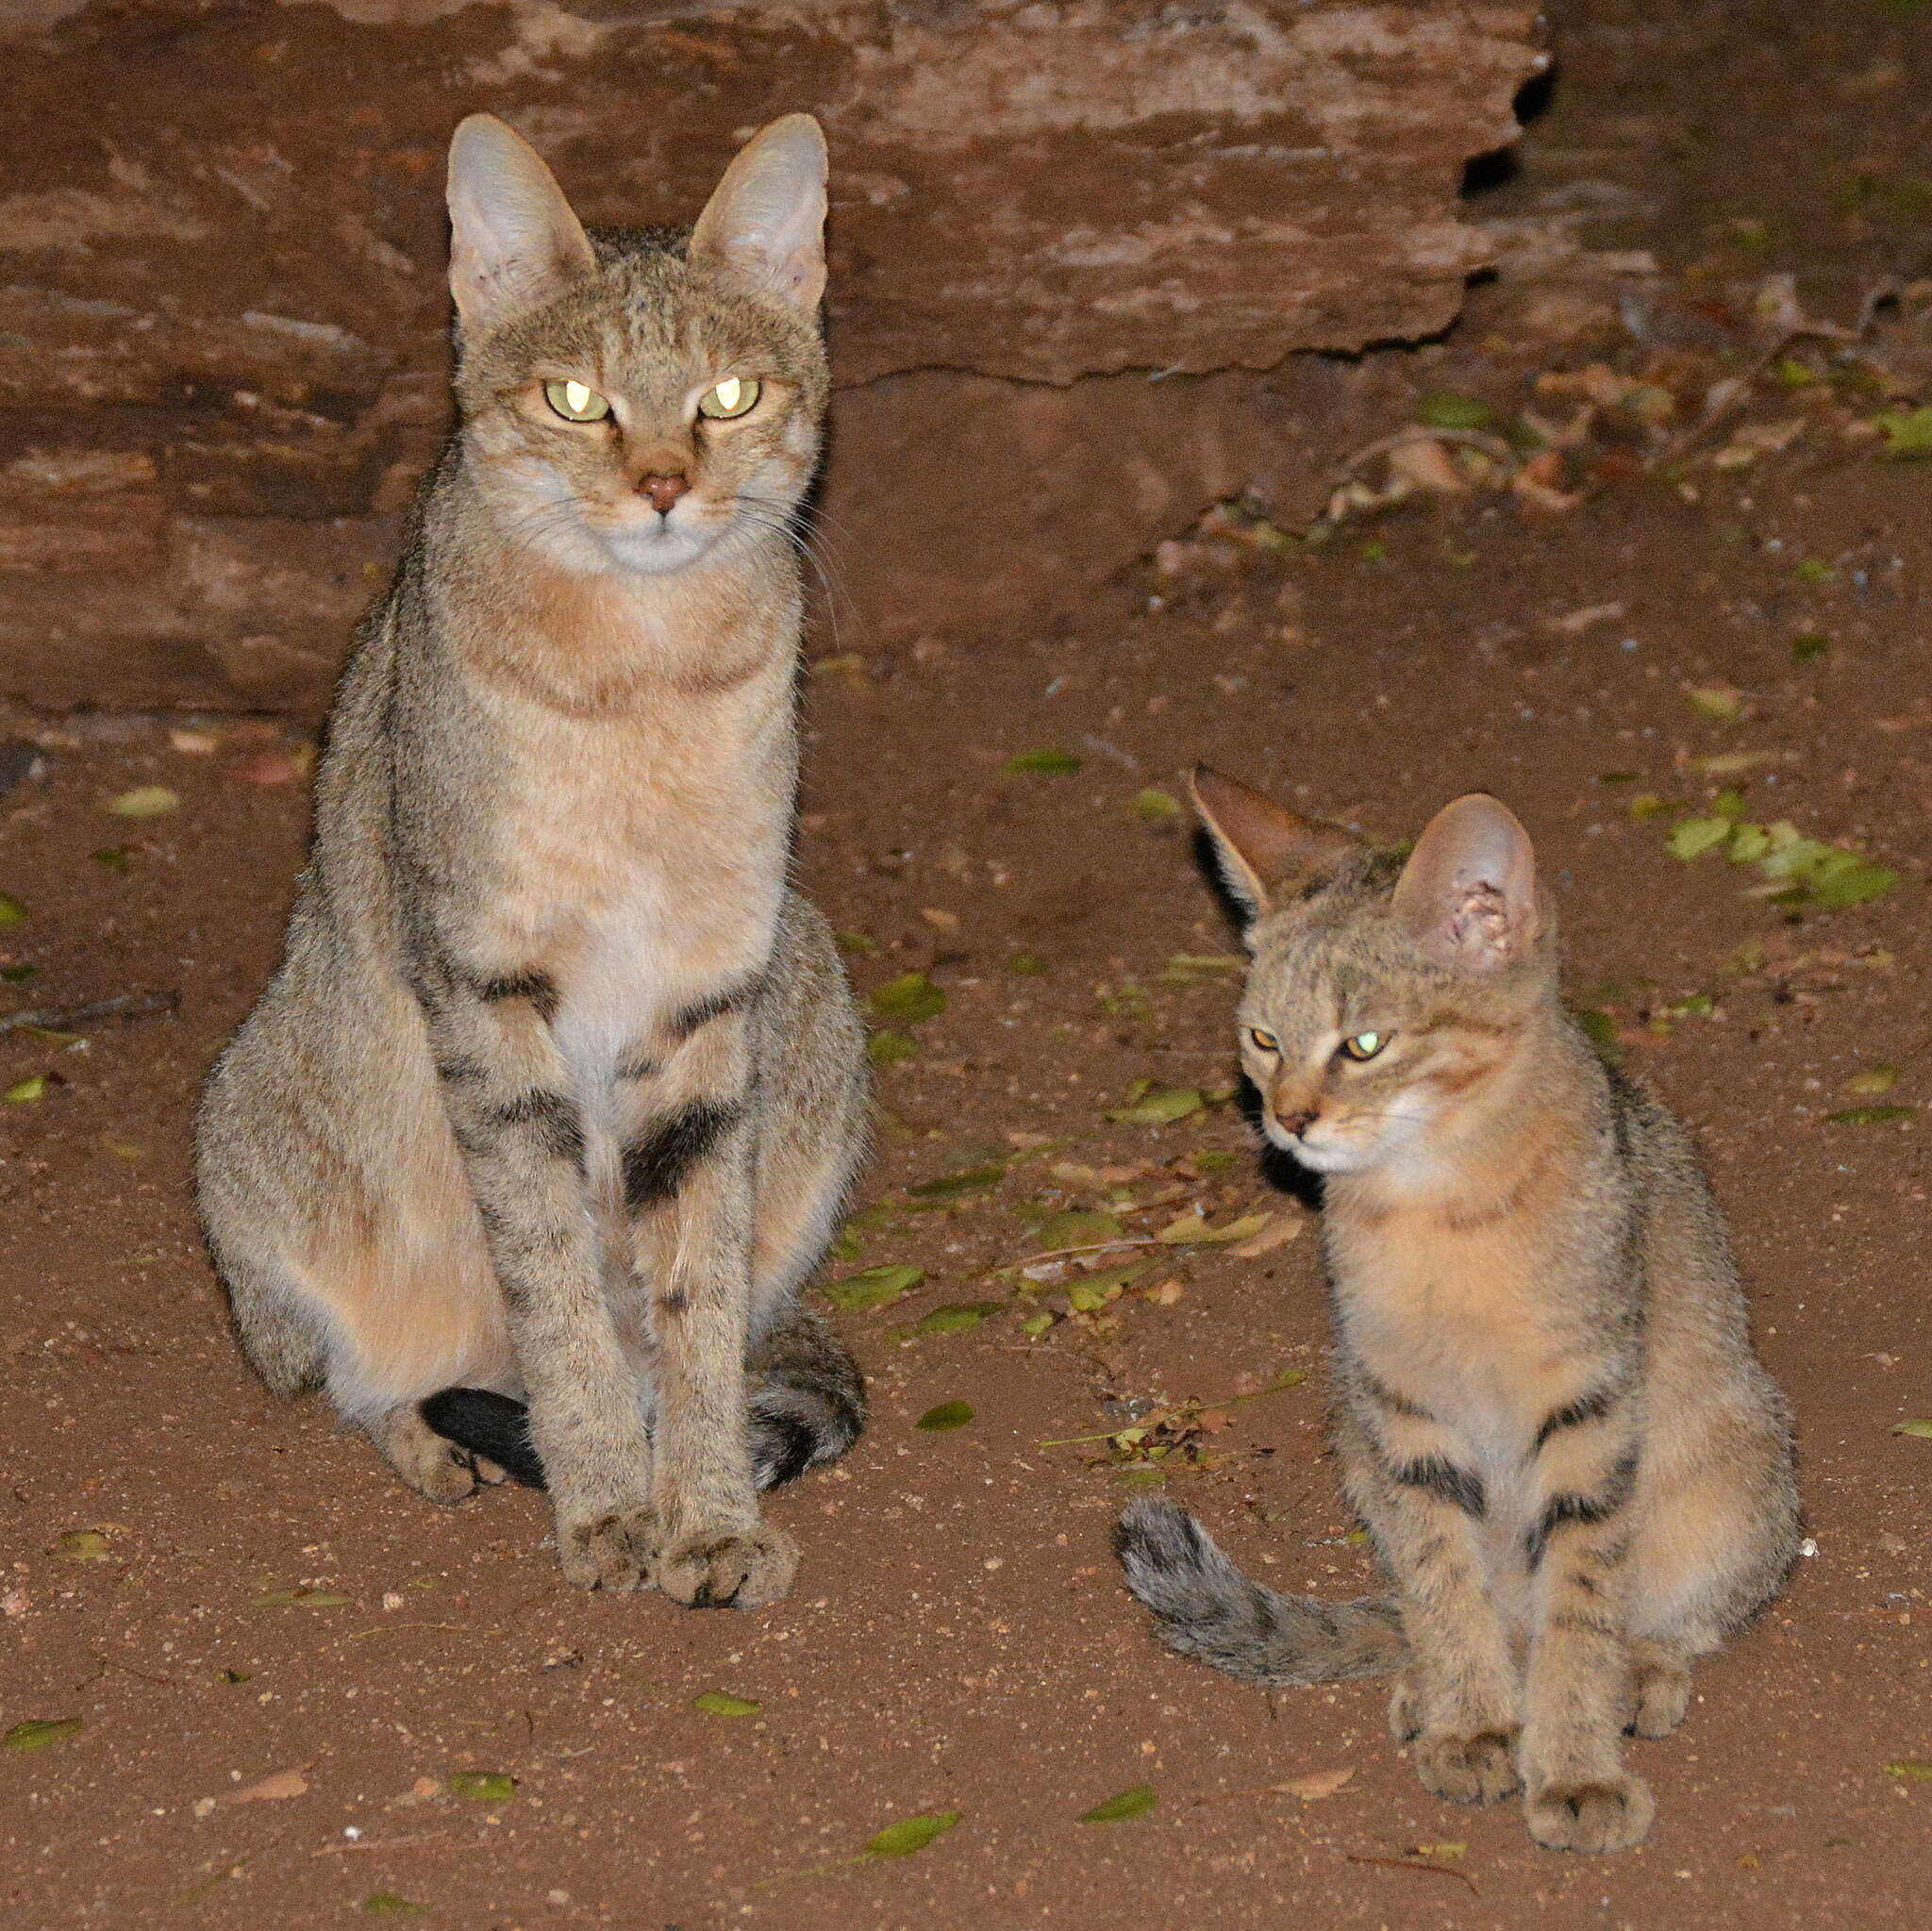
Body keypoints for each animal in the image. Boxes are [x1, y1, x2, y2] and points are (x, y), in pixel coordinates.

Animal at [193, 112, 861, 1606]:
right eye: (572, 400)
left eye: (728, 393)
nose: (664, 485)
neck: (644, 672)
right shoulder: (485, 989)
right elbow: (552, 1274)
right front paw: (610, 1500)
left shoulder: (705, 993)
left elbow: (692, 1294)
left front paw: (705, 1509)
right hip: (260, 1137)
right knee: (355, 1373)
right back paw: (436, 1436)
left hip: (814, 989)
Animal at [1120, 768, 1792, 1854]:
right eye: (1262, 1039)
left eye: (1363, 1045)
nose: (1287, 1119)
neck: (1435, 1203)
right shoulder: (1403, 1410)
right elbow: (1444, 1579)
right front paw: (1472, 1719)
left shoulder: (1587, 1407)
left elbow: (1580, 1601)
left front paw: (1574, 1765)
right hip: (1352, 1437)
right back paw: (1429, 1683)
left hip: (1737, 1457)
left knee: (1675, 1609)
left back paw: (1639, 1671)